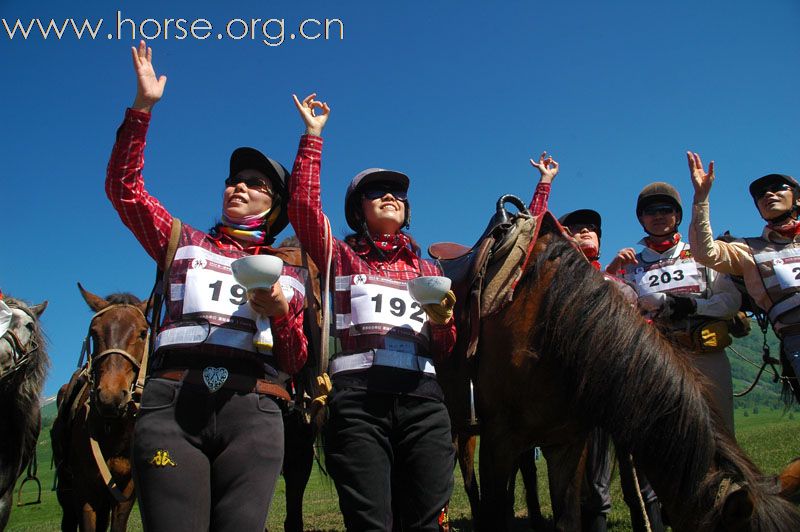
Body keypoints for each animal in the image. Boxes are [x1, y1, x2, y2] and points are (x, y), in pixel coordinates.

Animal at [51, 286, 150, 532]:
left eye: (143, 333)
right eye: (94, 332)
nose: (110, 397)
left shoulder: (125, 491)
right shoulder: (84, 490)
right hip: (66, 488)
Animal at [438, 217, 800, 532]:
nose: (742, 320)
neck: (548, 320)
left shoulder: (566, 443)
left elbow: (567, 521)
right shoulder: (499, 440)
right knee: (468, 480)